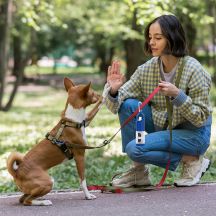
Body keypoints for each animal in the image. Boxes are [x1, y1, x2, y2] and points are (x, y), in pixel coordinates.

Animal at [5, 77, 102, 206]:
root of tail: (17, 172)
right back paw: (44, 202)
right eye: (93, 92)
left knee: (22, 199)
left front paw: (107, 91)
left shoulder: (86, 120)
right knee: (26, 201)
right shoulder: (80, 156)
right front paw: (88, 195)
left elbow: (96, 109)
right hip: (48, 181)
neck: (71, 121)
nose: (99, 94)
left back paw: (39, 199)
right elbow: (83, 180)